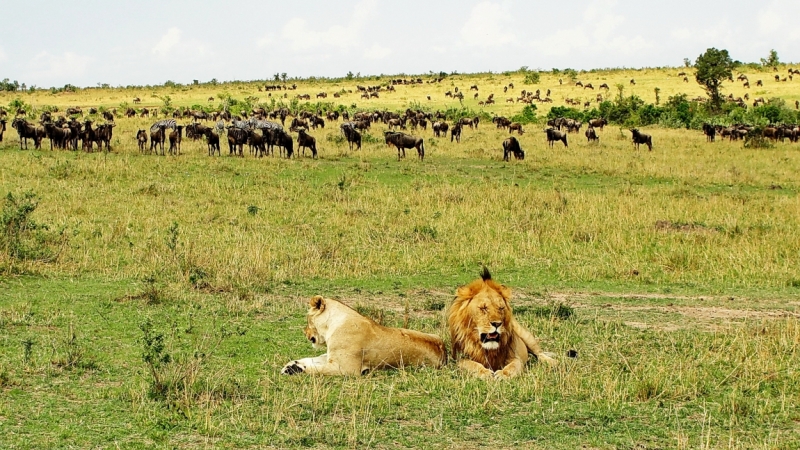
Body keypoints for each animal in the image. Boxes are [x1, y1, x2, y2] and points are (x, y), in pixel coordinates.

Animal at [282, 296, 446, 376]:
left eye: (307, 319)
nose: (305, 332)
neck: (334, 324)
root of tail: (443, 350)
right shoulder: (331, 356)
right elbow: (314, 359)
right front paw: (291, 364)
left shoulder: (347, 369)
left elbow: (318, 369)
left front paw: (294, 370)